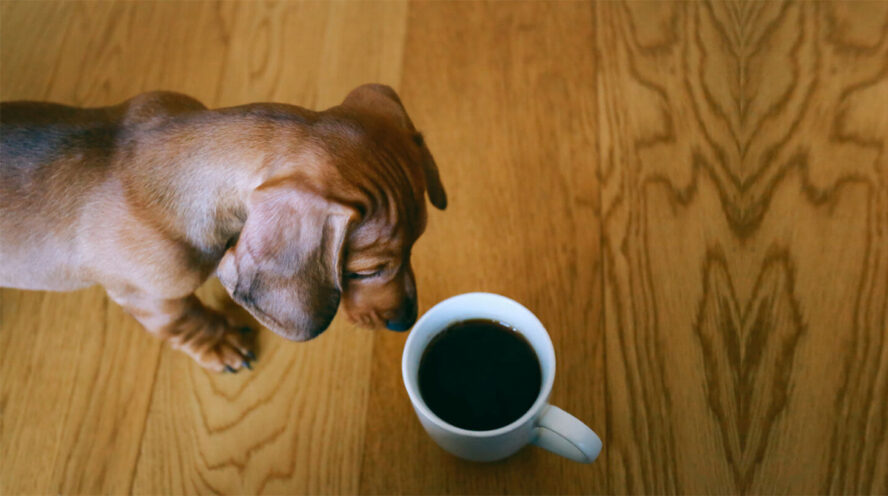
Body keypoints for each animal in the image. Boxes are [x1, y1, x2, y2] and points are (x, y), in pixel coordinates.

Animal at [0, 84, 444, 372]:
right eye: (363, 273)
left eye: (418, 242)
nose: (406, 321)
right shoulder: (150, 296)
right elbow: (185, 321)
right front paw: (220, 342)